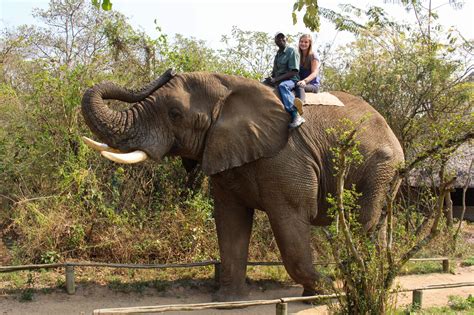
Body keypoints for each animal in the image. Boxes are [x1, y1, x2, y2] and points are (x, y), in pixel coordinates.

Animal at [81, 68, 404, 302]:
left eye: (175, 114)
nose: (169, 70)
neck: (229, 90)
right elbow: (230, 221)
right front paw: (227, 300)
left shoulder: (285, 158)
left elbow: (289, 222)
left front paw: (324, 292)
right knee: (377, 224)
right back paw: (375, 283)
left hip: (381, 167)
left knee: (366, 221)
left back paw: (362, 284)